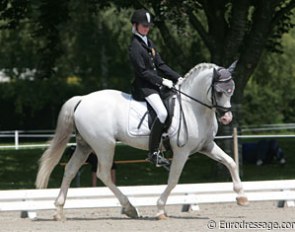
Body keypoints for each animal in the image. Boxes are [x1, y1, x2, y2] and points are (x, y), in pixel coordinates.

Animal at [36, 61, 250, 219]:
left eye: (231, 89)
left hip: (85, 145)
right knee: (103, 173)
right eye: (219, 91)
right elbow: (173, 180)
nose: (226, 118)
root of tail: (82, 99)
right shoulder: (182, 152)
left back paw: (58, 211)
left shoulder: (207, 146)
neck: (193, 107)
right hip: (104, 145)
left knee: (70, 170)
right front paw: (160, 209)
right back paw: (130, 208)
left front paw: (241, 197)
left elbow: (231, 162)